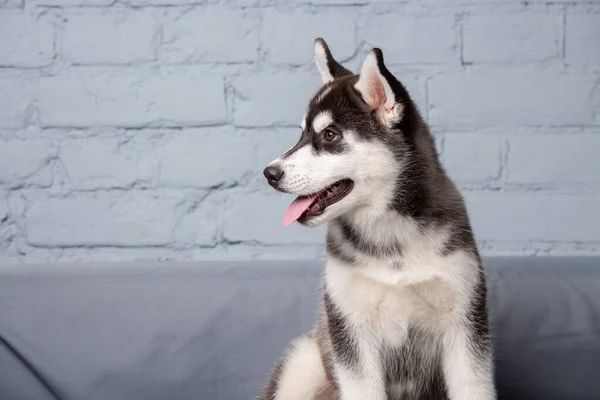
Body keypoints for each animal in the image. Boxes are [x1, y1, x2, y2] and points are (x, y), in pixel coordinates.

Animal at [258, 38, 496, 400]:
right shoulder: (350, 330)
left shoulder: (465, 323)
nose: (269, 174)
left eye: (329, 135)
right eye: (301, 134)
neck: (389, 232)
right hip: (303, 361)